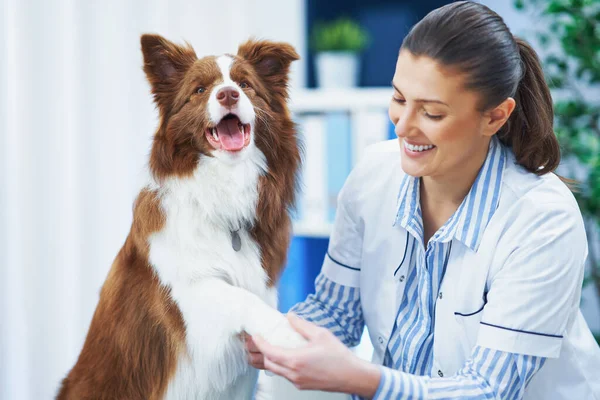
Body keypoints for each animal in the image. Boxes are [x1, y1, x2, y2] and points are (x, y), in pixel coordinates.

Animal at [57, 33, 304, 400]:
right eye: (199, 90)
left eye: (245, 84)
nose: (228, 94)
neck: (223, 188)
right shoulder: (187, 298)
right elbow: (239, 296)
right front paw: (290, 333)